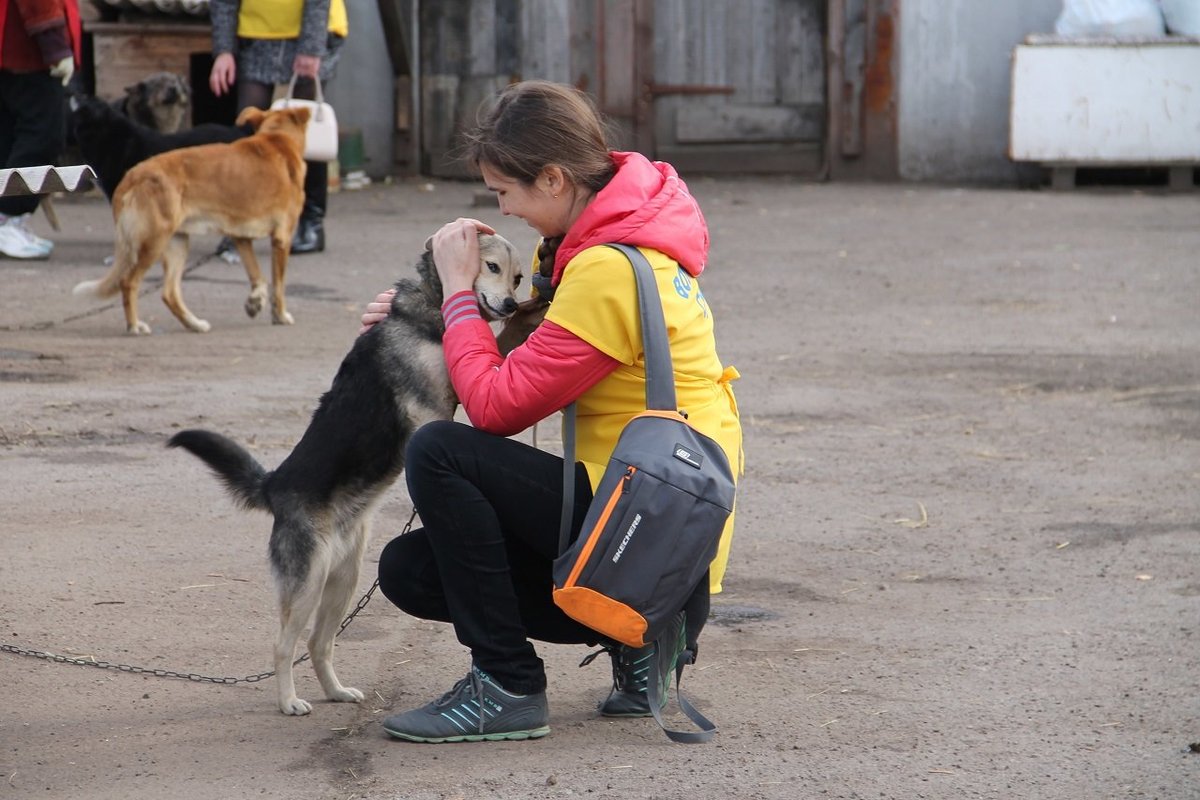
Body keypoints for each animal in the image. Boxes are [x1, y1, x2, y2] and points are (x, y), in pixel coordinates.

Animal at [72, 106, 312, 335]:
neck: (276, 138)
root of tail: (131, 177)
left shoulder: (240, 237)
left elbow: (258, 277)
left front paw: (255, 302)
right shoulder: (282, 238)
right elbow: (278, 285)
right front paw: (280, 315)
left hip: (176, 243)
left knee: (169, 293)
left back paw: (194, 323)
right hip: (153, 243)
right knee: (129, 282)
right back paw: (134, 326)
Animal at [169, 235, 525, 714]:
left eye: (518, 277)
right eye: (491, 267)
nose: (511, 304)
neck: (431, 307)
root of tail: (275, 485)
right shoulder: (431, 410)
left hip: (343, 579)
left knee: (318, 643)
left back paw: (336, 692)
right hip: (308, 582)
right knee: (284, 646)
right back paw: (289, 702)